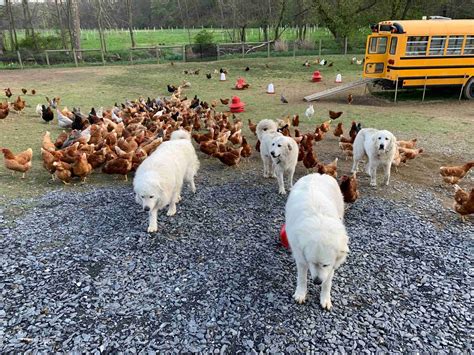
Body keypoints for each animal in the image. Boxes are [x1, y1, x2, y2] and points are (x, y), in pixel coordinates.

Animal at [286, 174, 348, 310]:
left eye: (325, 265)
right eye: (311, 263)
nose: (317, 282)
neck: (320, 226)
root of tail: (317, 174)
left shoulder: (331, 266)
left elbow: (327, 283)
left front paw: (325, 299)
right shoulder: (301, 257)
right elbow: (302, 278)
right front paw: (300, 293)